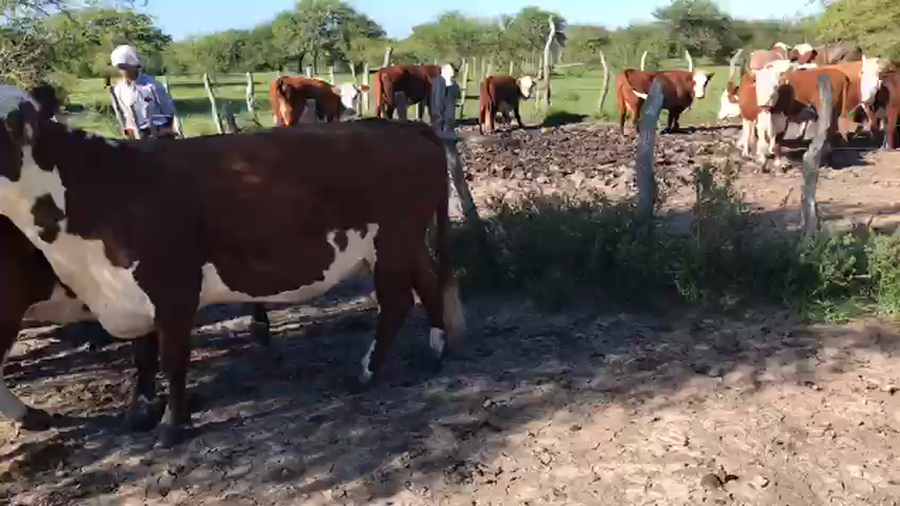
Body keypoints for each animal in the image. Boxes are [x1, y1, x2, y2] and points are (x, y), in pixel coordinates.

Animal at [0, 85, 465, 448]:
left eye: (7, 121)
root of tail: (398, 127)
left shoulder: (174, 289)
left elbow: (172, 360)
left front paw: (171, 427)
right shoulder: (131, 289)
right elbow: (143, 358)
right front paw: (139, 414)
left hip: (392, 240)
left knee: (396, 301)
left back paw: (366, 372)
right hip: (403, 243)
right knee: (427, 283)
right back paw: (435, 352)